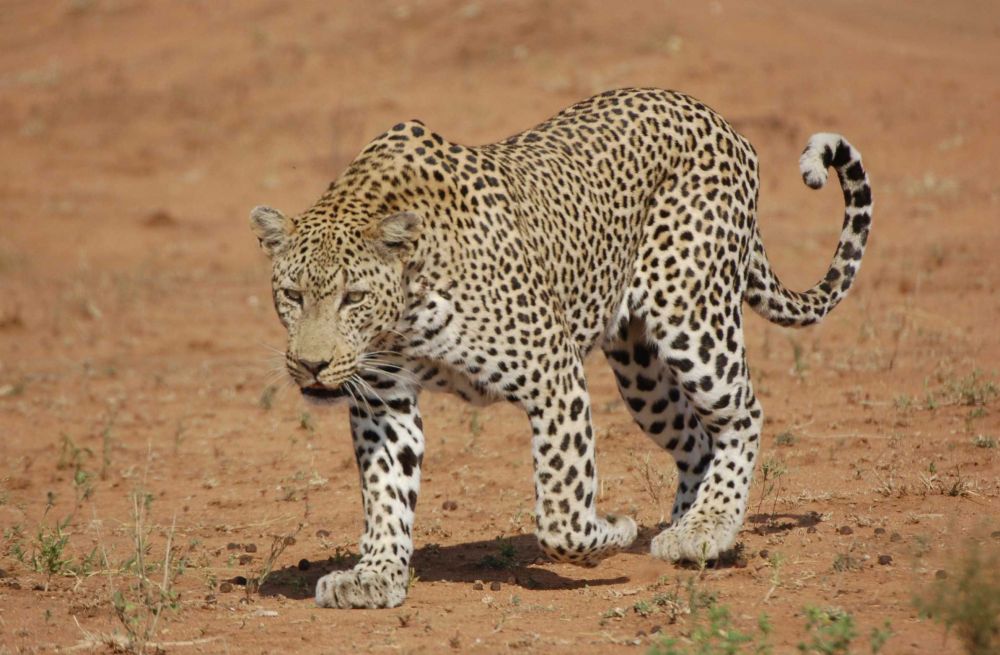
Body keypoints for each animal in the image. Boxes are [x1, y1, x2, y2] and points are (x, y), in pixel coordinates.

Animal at [246, 87, 872, 608]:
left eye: (352, 297)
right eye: (292, 294)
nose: (311, 365)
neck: (405, 309)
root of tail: (718, 120)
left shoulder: (552, 371)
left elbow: (561, 506)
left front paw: (610, 531)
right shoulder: (383, 402)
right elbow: (386, 493)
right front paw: (374, 575)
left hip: (693, 320)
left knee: (743, 415)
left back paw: (707, 527)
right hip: (641, 372)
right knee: (696, 440)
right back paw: (685, 529)